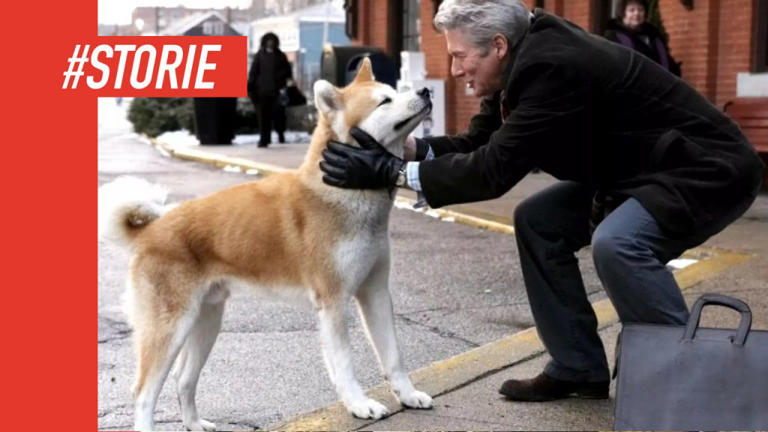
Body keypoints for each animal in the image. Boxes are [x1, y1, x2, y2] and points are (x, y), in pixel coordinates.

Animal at [101, 58, 436, 432]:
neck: (342, 192)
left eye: (395, 91)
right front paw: (359, 404)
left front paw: (408, 395)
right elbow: (345, 365)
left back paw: (195, 423)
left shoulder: (375, 291)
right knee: (144, 393)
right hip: (170, 328)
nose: (425, 90)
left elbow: (394, 356)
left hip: (206, 321)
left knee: (183, 379)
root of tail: (151, 230)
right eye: (384, 101)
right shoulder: (333, 302)